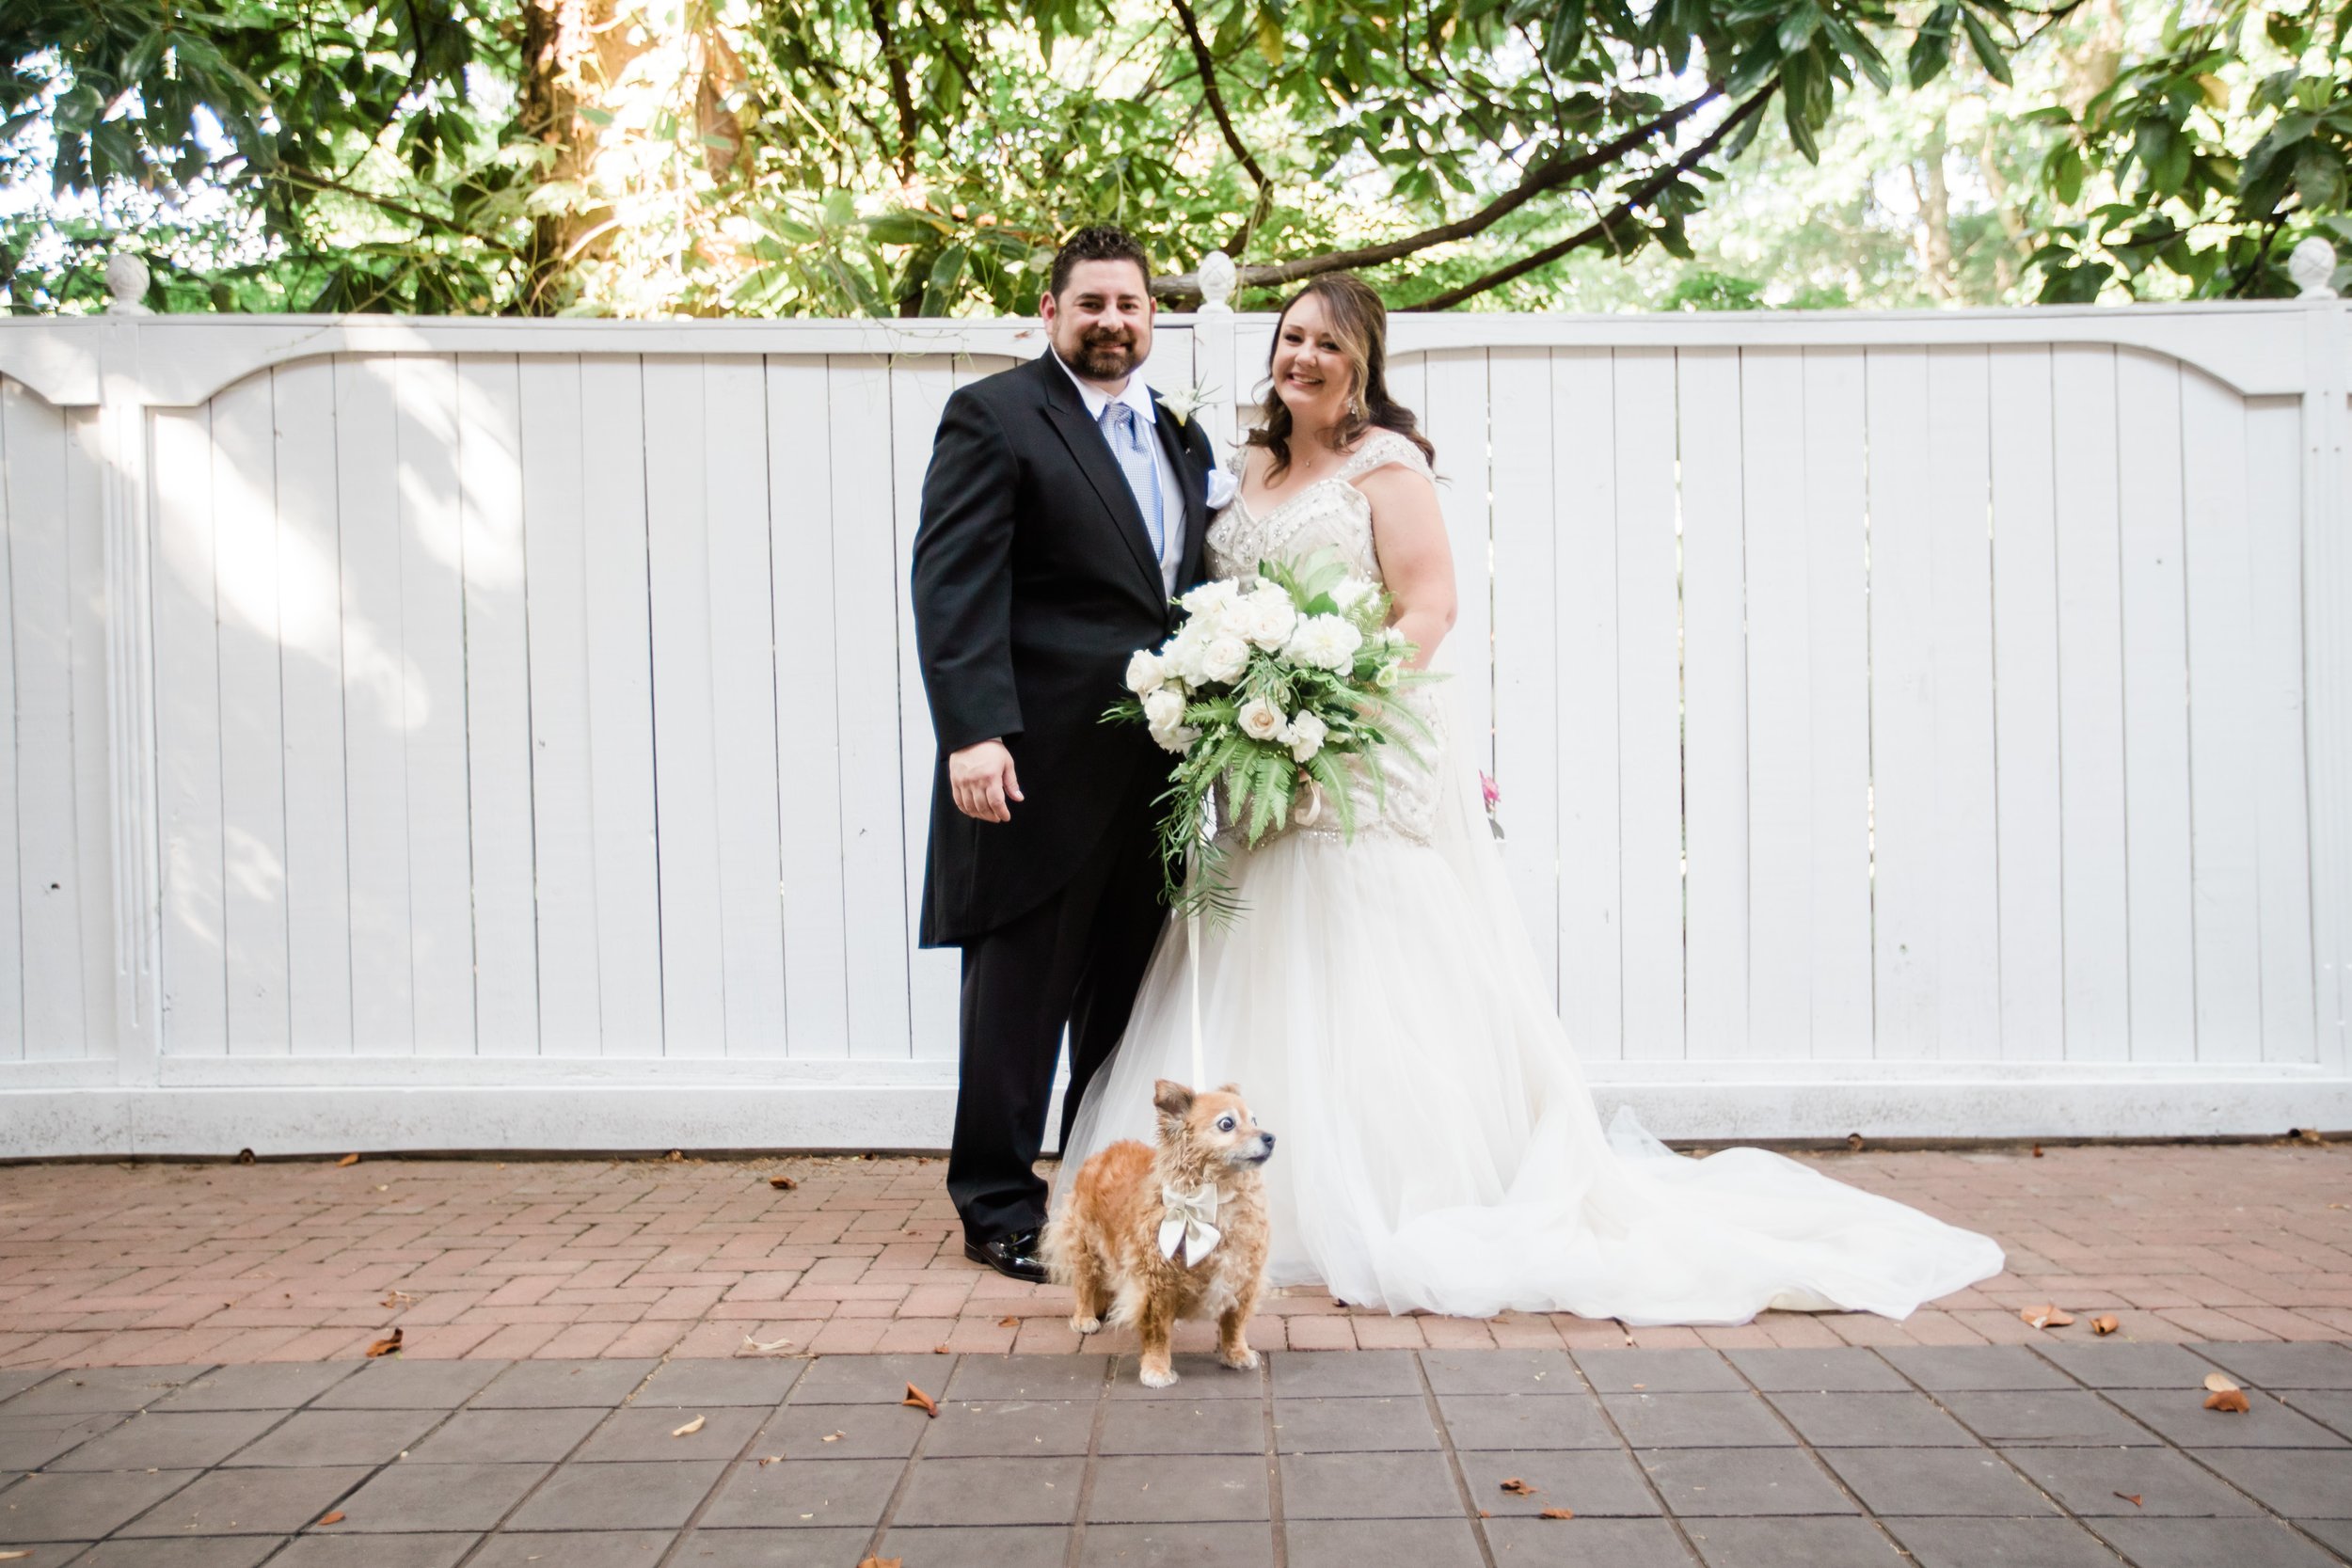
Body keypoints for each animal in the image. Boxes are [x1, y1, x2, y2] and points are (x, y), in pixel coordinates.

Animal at [1044, 1081, 1279, 1382]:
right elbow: (1158, 1333)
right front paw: (1156, 1369)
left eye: (1254, 1121)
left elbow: (1234, 1323)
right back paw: (1085, 1318)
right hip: (1086, 1247)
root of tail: (1104, 1153)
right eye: (1227, 1124)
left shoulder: (1242, 1278)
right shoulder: (1155, 1286)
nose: (1270, 1137)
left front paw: (1237, 1354)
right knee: (1086, 1284)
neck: (1215, 1199)